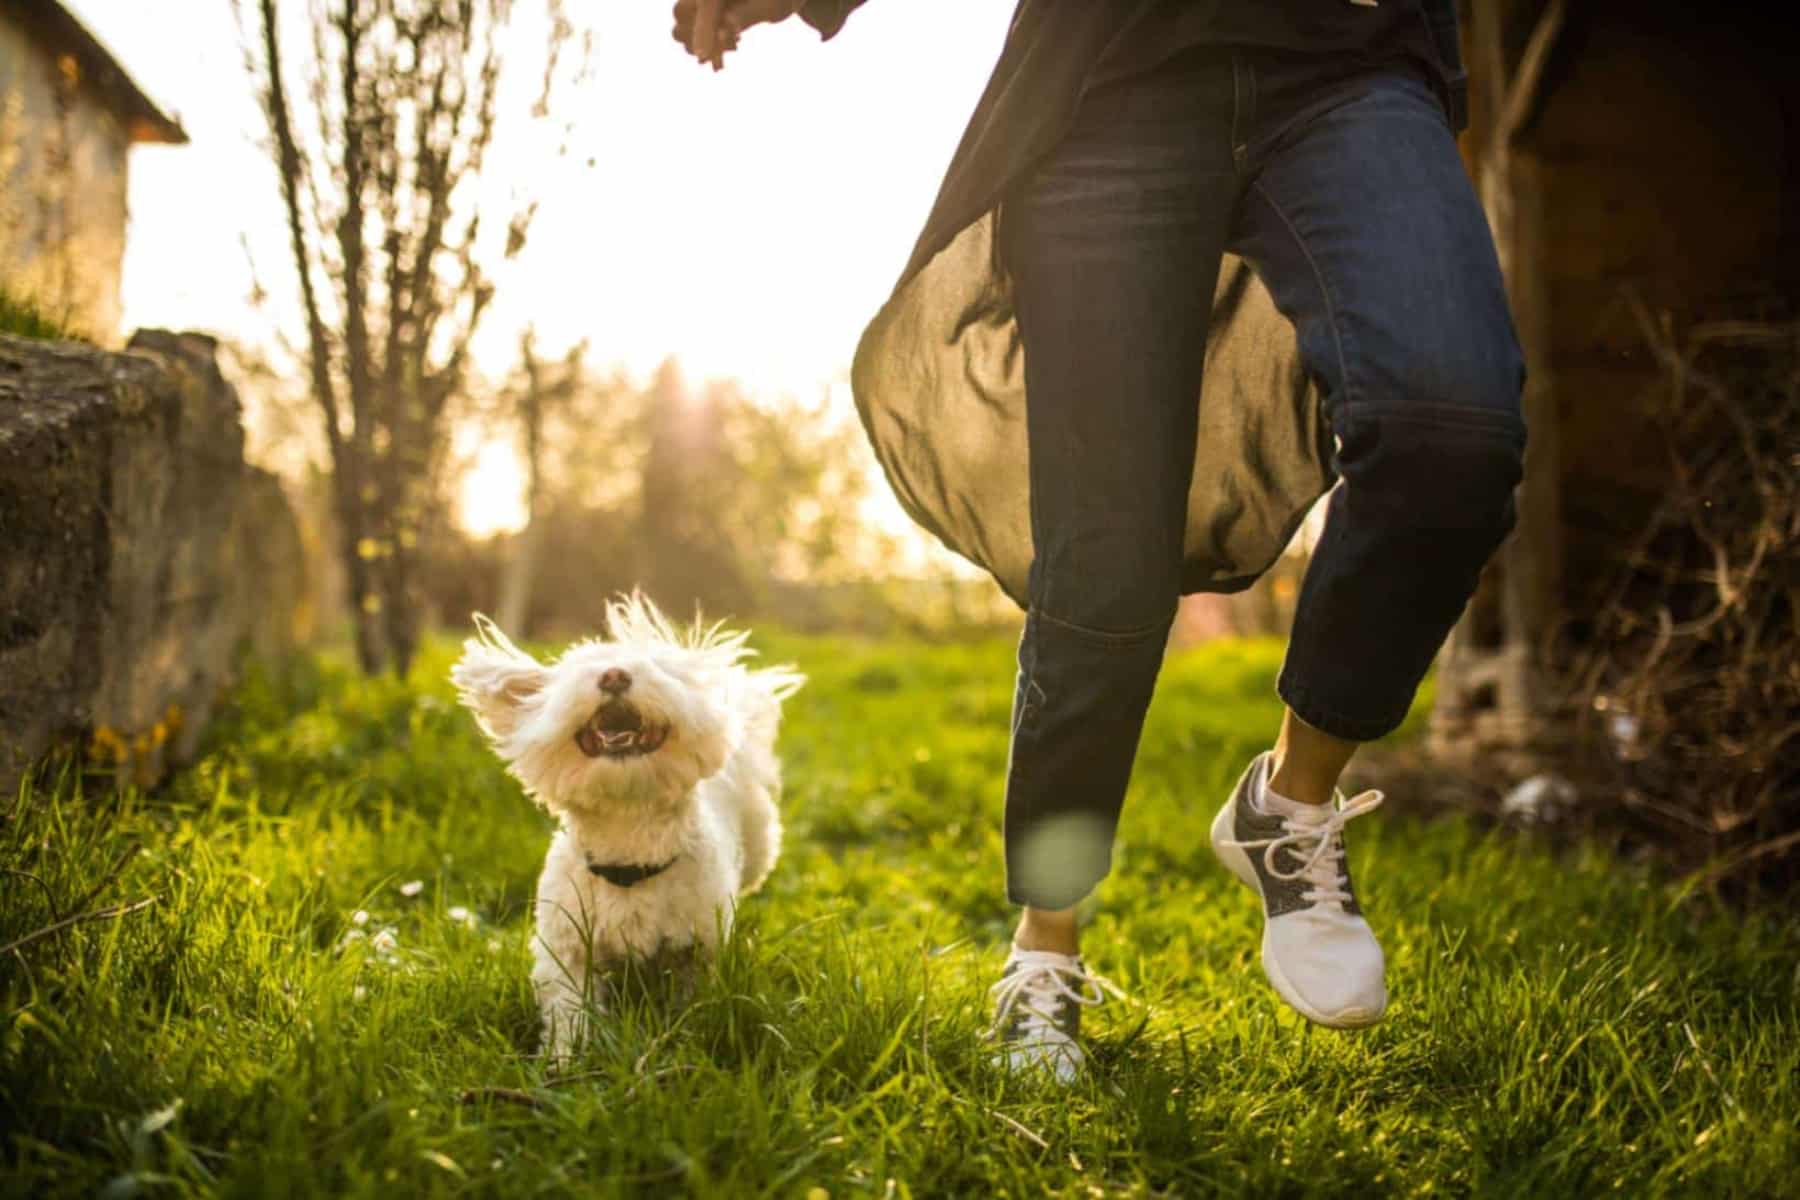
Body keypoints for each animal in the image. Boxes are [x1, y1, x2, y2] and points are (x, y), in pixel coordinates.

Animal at [453, 597, 806, 1057]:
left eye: (656, 668)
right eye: (581, 670)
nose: (615, 675)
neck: (630, 850)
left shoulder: (697, 947)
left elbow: (692, 1002)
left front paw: (683, 1039)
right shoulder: (567, 946)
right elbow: (568, 1009)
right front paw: (565, 1059)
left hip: (759, 848)